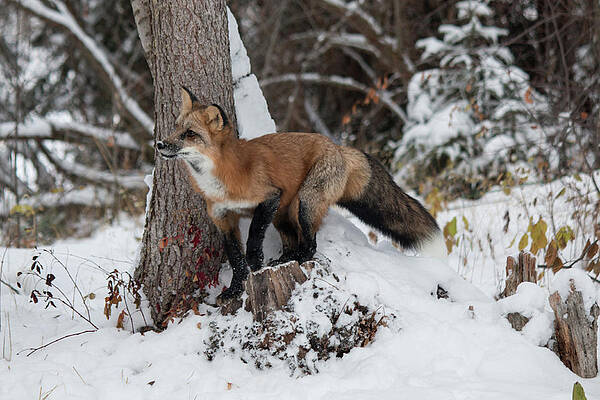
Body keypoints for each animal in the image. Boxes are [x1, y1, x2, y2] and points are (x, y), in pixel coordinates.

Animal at [157, 88, 442, 304]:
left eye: (190, 134)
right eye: (175, 129)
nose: (160, 144)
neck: (224, 177)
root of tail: (338, 147)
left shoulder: (269, 197)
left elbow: (253, 237)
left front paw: (255, 262)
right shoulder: (223, 219)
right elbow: (236, 259)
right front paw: (235, 290)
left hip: (304, 203)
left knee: (310, 243)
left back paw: (301, 259)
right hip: (283, 215)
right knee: (293, 241)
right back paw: (285, 259)